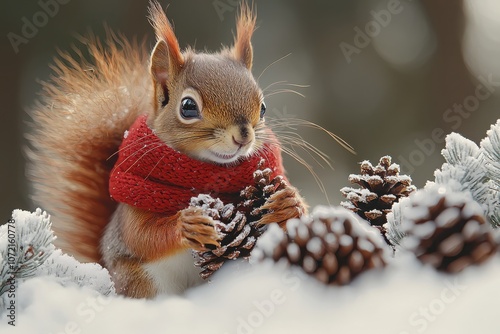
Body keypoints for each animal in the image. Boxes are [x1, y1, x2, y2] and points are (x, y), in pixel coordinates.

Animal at [28, 0, 308, 298]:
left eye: (263, 107)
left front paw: (288, 203)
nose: (243, 136)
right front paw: (186, 225)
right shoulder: (134, 206)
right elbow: (142, 237)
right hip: (143, 282)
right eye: (188, 107)